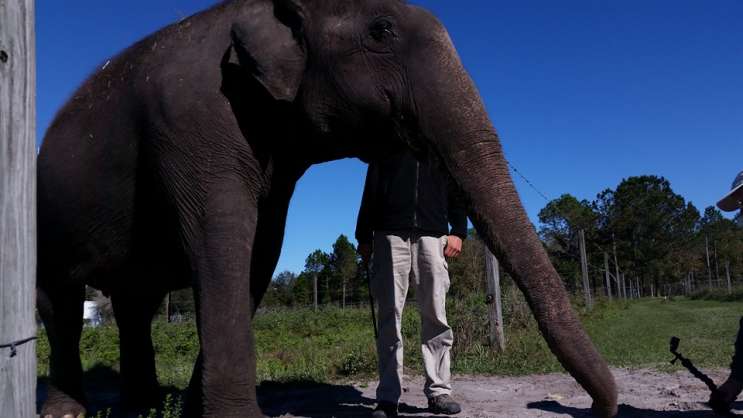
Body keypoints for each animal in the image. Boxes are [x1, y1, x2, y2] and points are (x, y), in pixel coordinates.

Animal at [39, 0, 620, 418]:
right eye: (381, 31)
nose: (590, 409)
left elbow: (260, 252)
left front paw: (193, 412)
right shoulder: (193, 121)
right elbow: (222, 241)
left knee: (134, 305)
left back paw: (147, 405)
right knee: (61, 303)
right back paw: (69, 411)